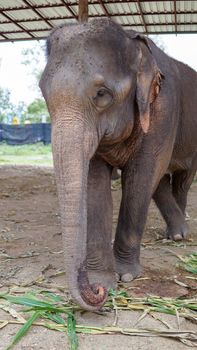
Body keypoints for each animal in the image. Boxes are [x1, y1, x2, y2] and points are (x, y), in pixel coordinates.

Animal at [40, 17, 197, 310]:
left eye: (102, 94)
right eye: (43, 93)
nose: (96, 292)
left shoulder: (163, 109)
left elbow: (141, 176)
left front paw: (126, 276)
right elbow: (95, 182)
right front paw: (104, 279)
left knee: (182, 179)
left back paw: (180, 235)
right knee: (163, 182)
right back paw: (174, 233)